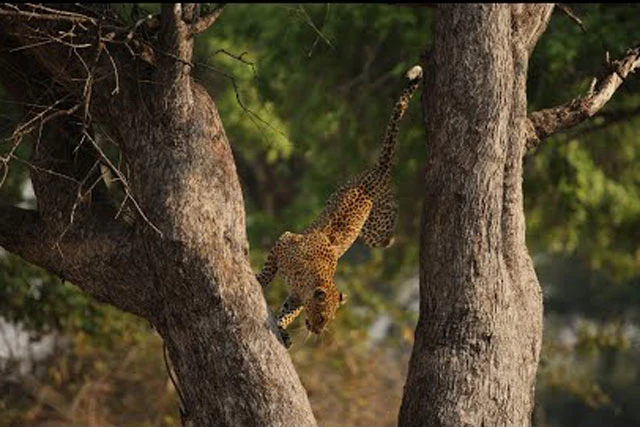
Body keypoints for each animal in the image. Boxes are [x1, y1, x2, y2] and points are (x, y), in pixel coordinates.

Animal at [258, 66, 422, 348]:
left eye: (331, 318)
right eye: (323, 315)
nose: (318, 331)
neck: (307, 278)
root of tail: (380, 170)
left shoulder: (296, 296)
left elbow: (287, 312)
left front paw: (282, 329)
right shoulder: (285, 239)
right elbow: (269, 270)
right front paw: (259, 280)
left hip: (373, 233)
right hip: (374, 230)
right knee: (387, 234)